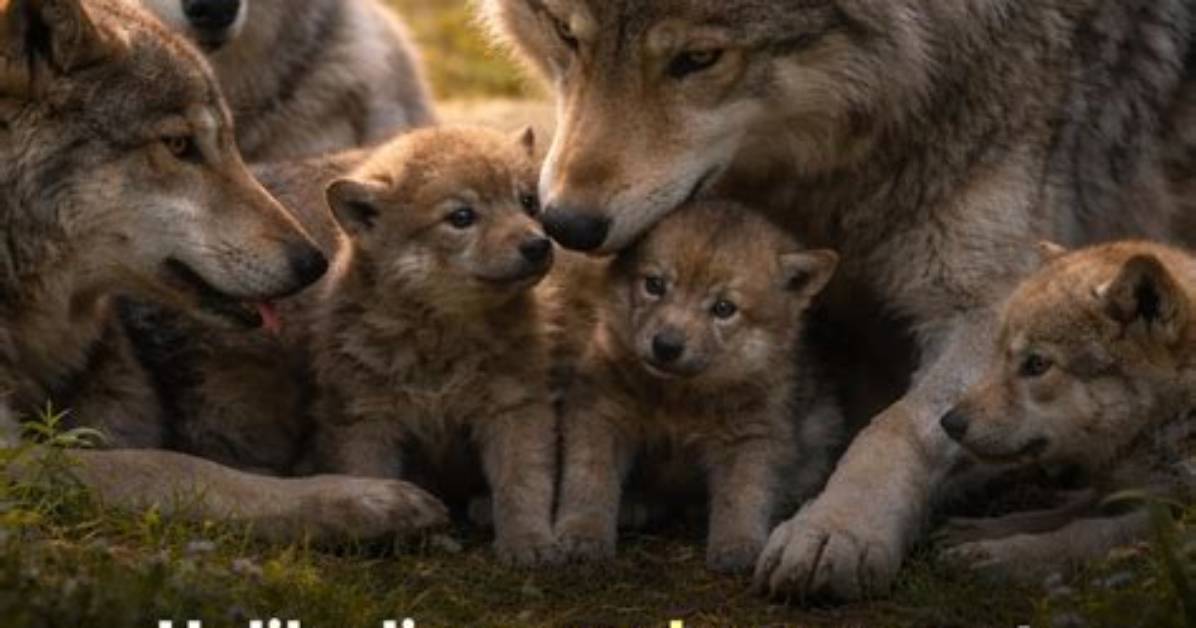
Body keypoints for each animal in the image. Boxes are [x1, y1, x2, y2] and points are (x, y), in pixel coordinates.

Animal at [555, 200, 843, 574]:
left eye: (724, 308)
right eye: (654, 285)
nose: (666, 346)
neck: (680, 398)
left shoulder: (752, 435)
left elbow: (743, 494)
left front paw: (738, 544)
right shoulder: (599, 412)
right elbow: (589, 480)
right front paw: (581, 533)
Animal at [935, 241, 1196, 578]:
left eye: (1036, 364)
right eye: (997, 357)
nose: (949, 423)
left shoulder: (1176, 510)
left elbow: (1084, 532)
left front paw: (1005, 554)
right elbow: (1050, 515)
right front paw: (980, 531)